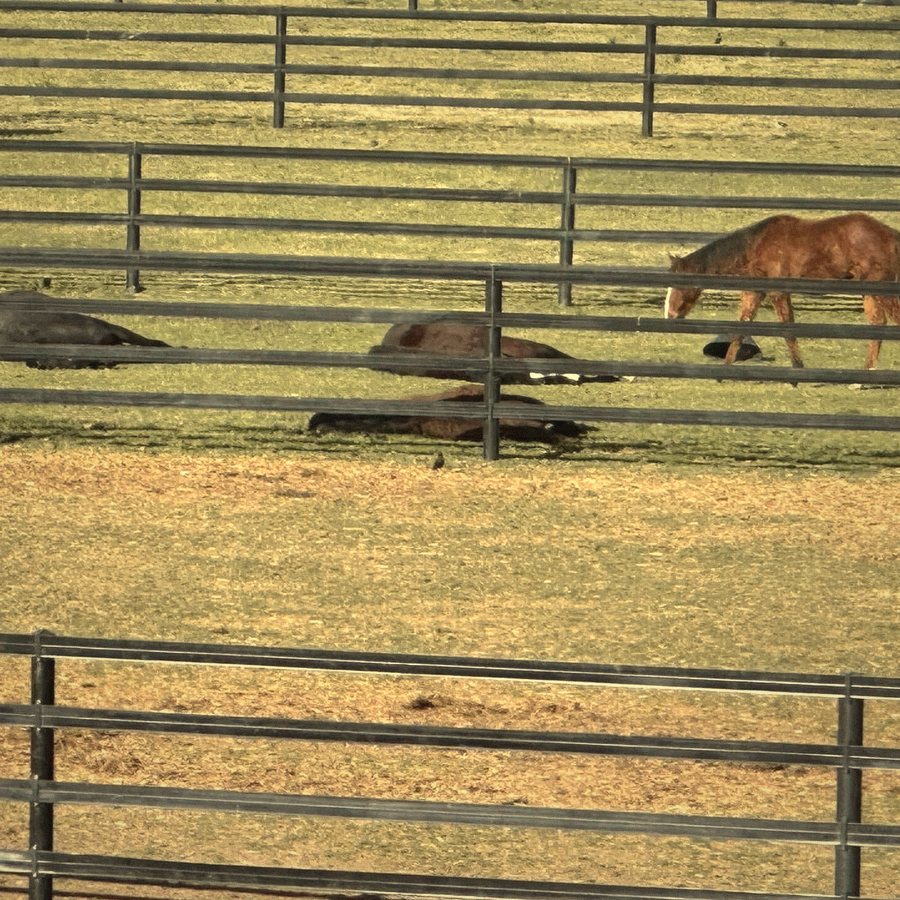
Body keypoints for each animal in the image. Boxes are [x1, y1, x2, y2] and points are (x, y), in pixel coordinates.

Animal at [664, 213, 900, 368]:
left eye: (678, 284)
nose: (670, 315)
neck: (756, 245)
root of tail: (891, 235)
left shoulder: (778, 292)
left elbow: (787, 329)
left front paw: (798, 367)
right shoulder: (755, 291)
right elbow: (741, 326)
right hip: (868, 292)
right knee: (877, 324)